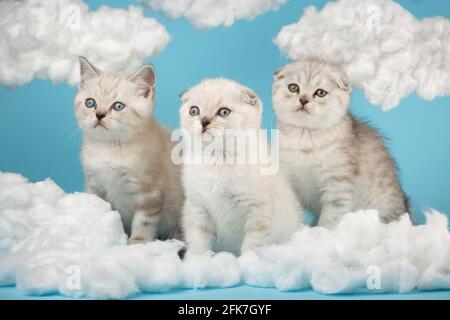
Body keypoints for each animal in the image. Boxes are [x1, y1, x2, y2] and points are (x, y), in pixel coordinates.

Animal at [74, 57, 184, 242]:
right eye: (90, 103)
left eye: (118, 106)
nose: (99, 115)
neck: (109, 148)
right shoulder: (95, 186)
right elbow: (100, 209)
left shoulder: (150, 192)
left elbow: (143, 222)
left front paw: (137, 242)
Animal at [178, 79, 302, 256]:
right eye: (194, 111)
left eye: (224, 112)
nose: (204, 121)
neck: (218, 159)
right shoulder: (198, 207)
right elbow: (198, 239)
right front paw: (197, 259)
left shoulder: (257, 210)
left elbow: (252, 243)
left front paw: (247, 260)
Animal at [272, 58, 410, 228]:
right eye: (293, 88)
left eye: (320, 93)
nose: (303, 100)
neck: (304, 138)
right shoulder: (289, 181)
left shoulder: (338, 186)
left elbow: (329, 220)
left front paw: (320, 232)